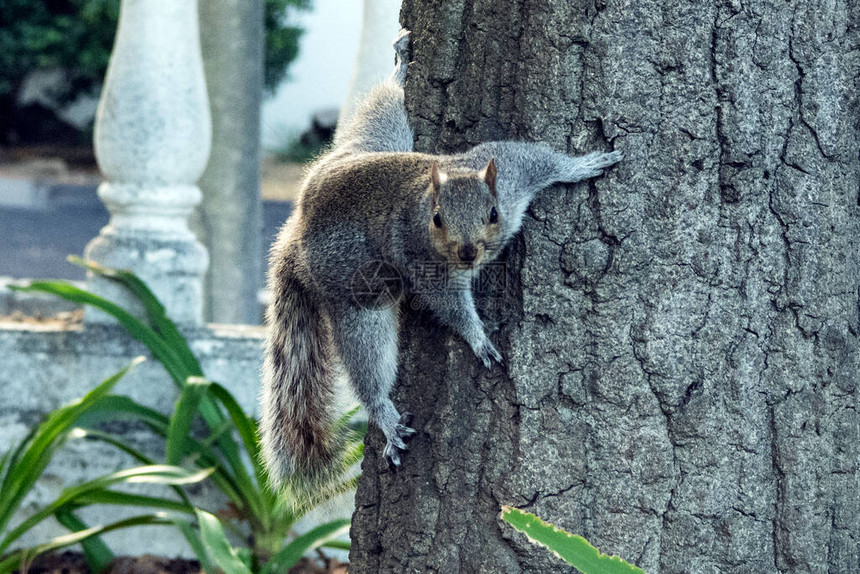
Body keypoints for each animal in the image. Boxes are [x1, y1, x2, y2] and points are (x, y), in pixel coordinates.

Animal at [258, 29, 620, 484]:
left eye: (493, 213)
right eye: (436, 219)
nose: (467, 252)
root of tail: (296, 229)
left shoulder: (512, 173)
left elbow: (541, 159)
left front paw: (581, 164)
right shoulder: (423, 262)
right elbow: (449, 304)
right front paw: (478, 337)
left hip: (374, 143)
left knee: (381, 110)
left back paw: (399, 70)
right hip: (354, 295)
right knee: (366, 360)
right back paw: (385, 416)